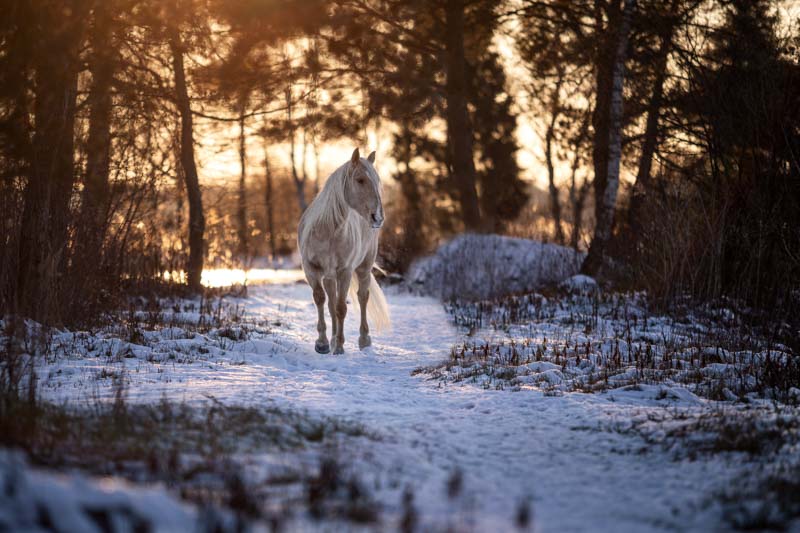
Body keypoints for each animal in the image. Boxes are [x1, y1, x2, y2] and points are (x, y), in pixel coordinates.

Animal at [296, 148, 390, 354]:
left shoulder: (345, 271)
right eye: (360, 180)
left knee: (362, 297)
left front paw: (339, 346)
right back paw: (332, 340)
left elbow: (341, 308)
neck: (327, 230)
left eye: (377, 181)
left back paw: (364, 339)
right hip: (330, 277)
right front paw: (323, 343)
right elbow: (321, 300)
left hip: (363, 268)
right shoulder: (311, 269)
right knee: (331, 303)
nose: (378, 217)